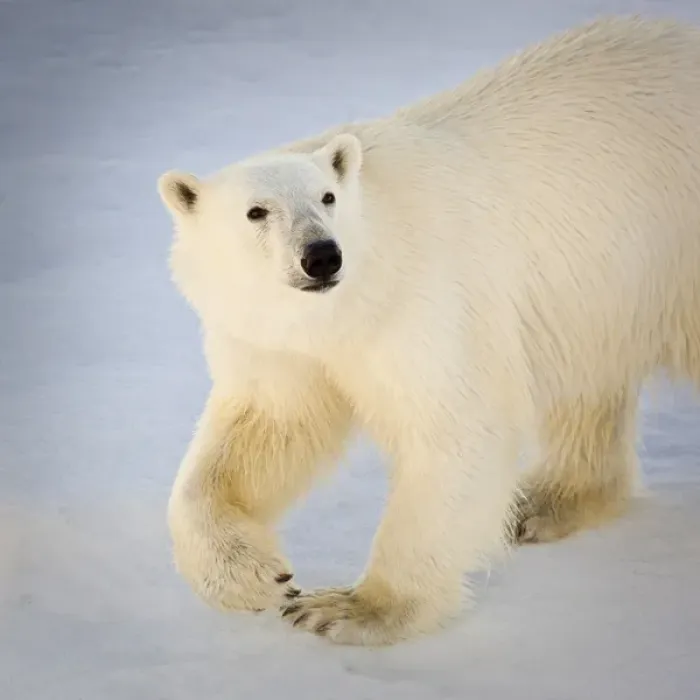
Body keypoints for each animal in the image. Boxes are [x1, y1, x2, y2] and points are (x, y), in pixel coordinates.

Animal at [157, 15, 700, 646]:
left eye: (327, 197)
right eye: (256, 212)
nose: (322, 256)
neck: (359, 298)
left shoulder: (428, 301)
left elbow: (454, 427)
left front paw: (350, 608)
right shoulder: (280, 342)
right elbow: (266, 429)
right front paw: (255, 578)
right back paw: (541, 503)